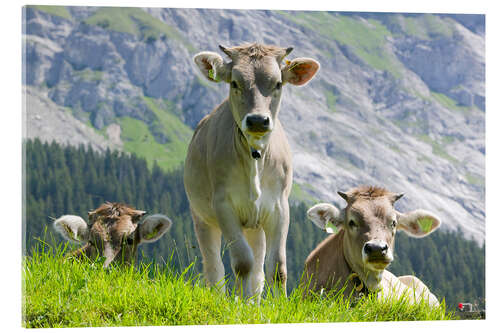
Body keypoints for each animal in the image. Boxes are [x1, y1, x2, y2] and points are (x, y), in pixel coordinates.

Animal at [185, 42, 320, 298]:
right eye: (234, 83)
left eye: (277, 83)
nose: (258, 120)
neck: (255, 156)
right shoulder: (223, 206)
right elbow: (241, 262)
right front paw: (237, 303)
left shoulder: (279, 208)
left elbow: (277, 267)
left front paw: (278, 305)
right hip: (202, 218)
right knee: (214, 267)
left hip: (255, 225)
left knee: (258, 270)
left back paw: (252, 300)